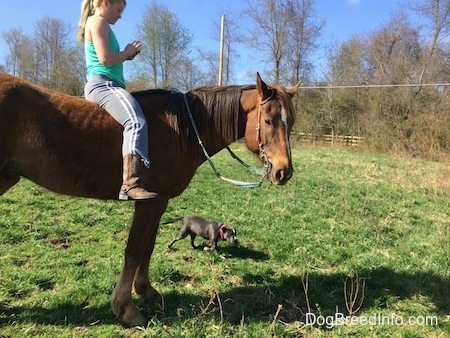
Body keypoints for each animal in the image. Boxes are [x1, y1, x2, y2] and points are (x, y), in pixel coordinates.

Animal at [0, 72, 298, 328]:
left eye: (291, 122)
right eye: (269, 120)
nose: (283, 171)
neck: (181, 130)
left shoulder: (159, 202)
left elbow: (149, 246)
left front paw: (145, 289)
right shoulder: (149, 203)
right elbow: (134, 250)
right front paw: (126, 308)